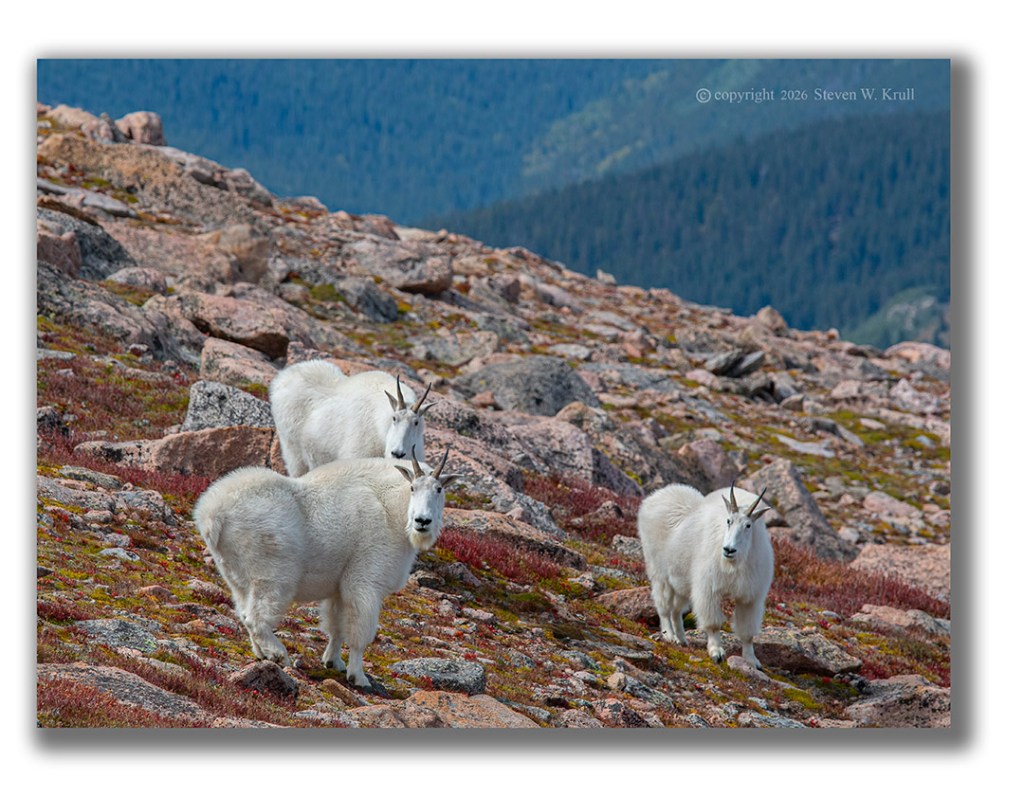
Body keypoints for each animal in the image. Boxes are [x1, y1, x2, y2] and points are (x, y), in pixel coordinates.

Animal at [192, 448, 455, 687]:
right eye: (413, 488)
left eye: (439, 489)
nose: (422, 521)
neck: (391, 507)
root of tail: (211, 515)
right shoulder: (365, 581)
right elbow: (359, 633)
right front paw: (358, 676)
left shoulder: (339, 586)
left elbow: (335, 626)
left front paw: (333, 662)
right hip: (272, 576)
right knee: (255, 618)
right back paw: (278, 654)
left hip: (236, 577)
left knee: (244, 612)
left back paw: (262, 653)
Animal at [637, 483, 774, 668]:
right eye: (728, 521)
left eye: (748, 525)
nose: (728, 550)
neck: (735, 563)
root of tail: (656, 496)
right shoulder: (709, 589)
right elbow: (713, 623)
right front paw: (717, 653)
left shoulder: (750, 598)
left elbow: (747, 632)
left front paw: (752, 660)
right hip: (660, 574)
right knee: (664, 607)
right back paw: (669, 636)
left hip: (681, 582)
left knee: (676, 610)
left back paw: (682, 639)